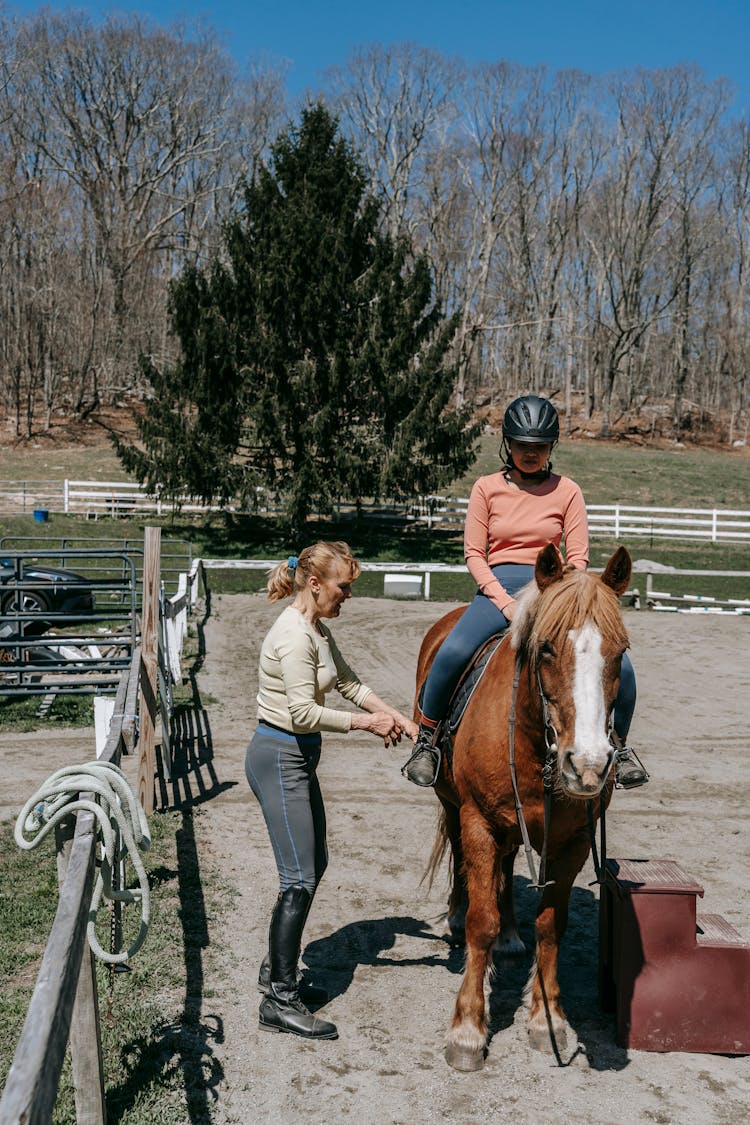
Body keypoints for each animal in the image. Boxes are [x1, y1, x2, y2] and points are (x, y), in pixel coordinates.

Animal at [416, 544, 634, 1071]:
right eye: (548, 648)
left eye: (620, 652)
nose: (589, 765)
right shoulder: (478, 819)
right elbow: (482, 922)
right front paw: (468, 1030)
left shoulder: (573, 839)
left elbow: (551, 925)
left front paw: (547, 1020)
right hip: (452, 803)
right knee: (463, 860)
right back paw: (457, 915)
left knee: (509, 866)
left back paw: (512, 937)